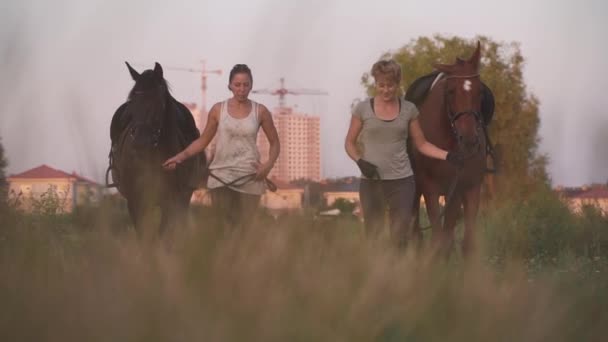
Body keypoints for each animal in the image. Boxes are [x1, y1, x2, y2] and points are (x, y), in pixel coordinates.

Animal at [406, 42, 492, 255]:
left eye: (480, 91)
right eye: (451, 91)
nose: (469, 139)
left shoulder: (468, 187)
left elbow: (466, 243)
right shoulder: (430, 189)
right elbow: (437, 240)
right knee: (415, 231)